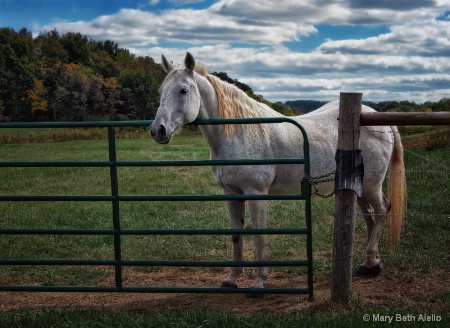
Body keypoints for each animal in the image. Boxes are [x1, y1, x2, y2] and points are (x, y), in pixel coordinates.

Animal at [149, 52, 406, 296]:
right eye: (161, 91)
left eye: (183, 90)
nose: (158, 130)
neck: (239, 133)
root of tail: (378, 120)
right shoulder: (231, 194)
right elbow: (236, 236)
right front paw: (231, 280)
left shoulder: (256, 193)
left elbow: (259, 236)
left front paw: (258, 284)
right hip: (357, 187)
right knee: (370, 216)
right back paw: (371, 263)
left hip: (372, 184)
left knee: (382, 211)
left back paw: (371, 263)